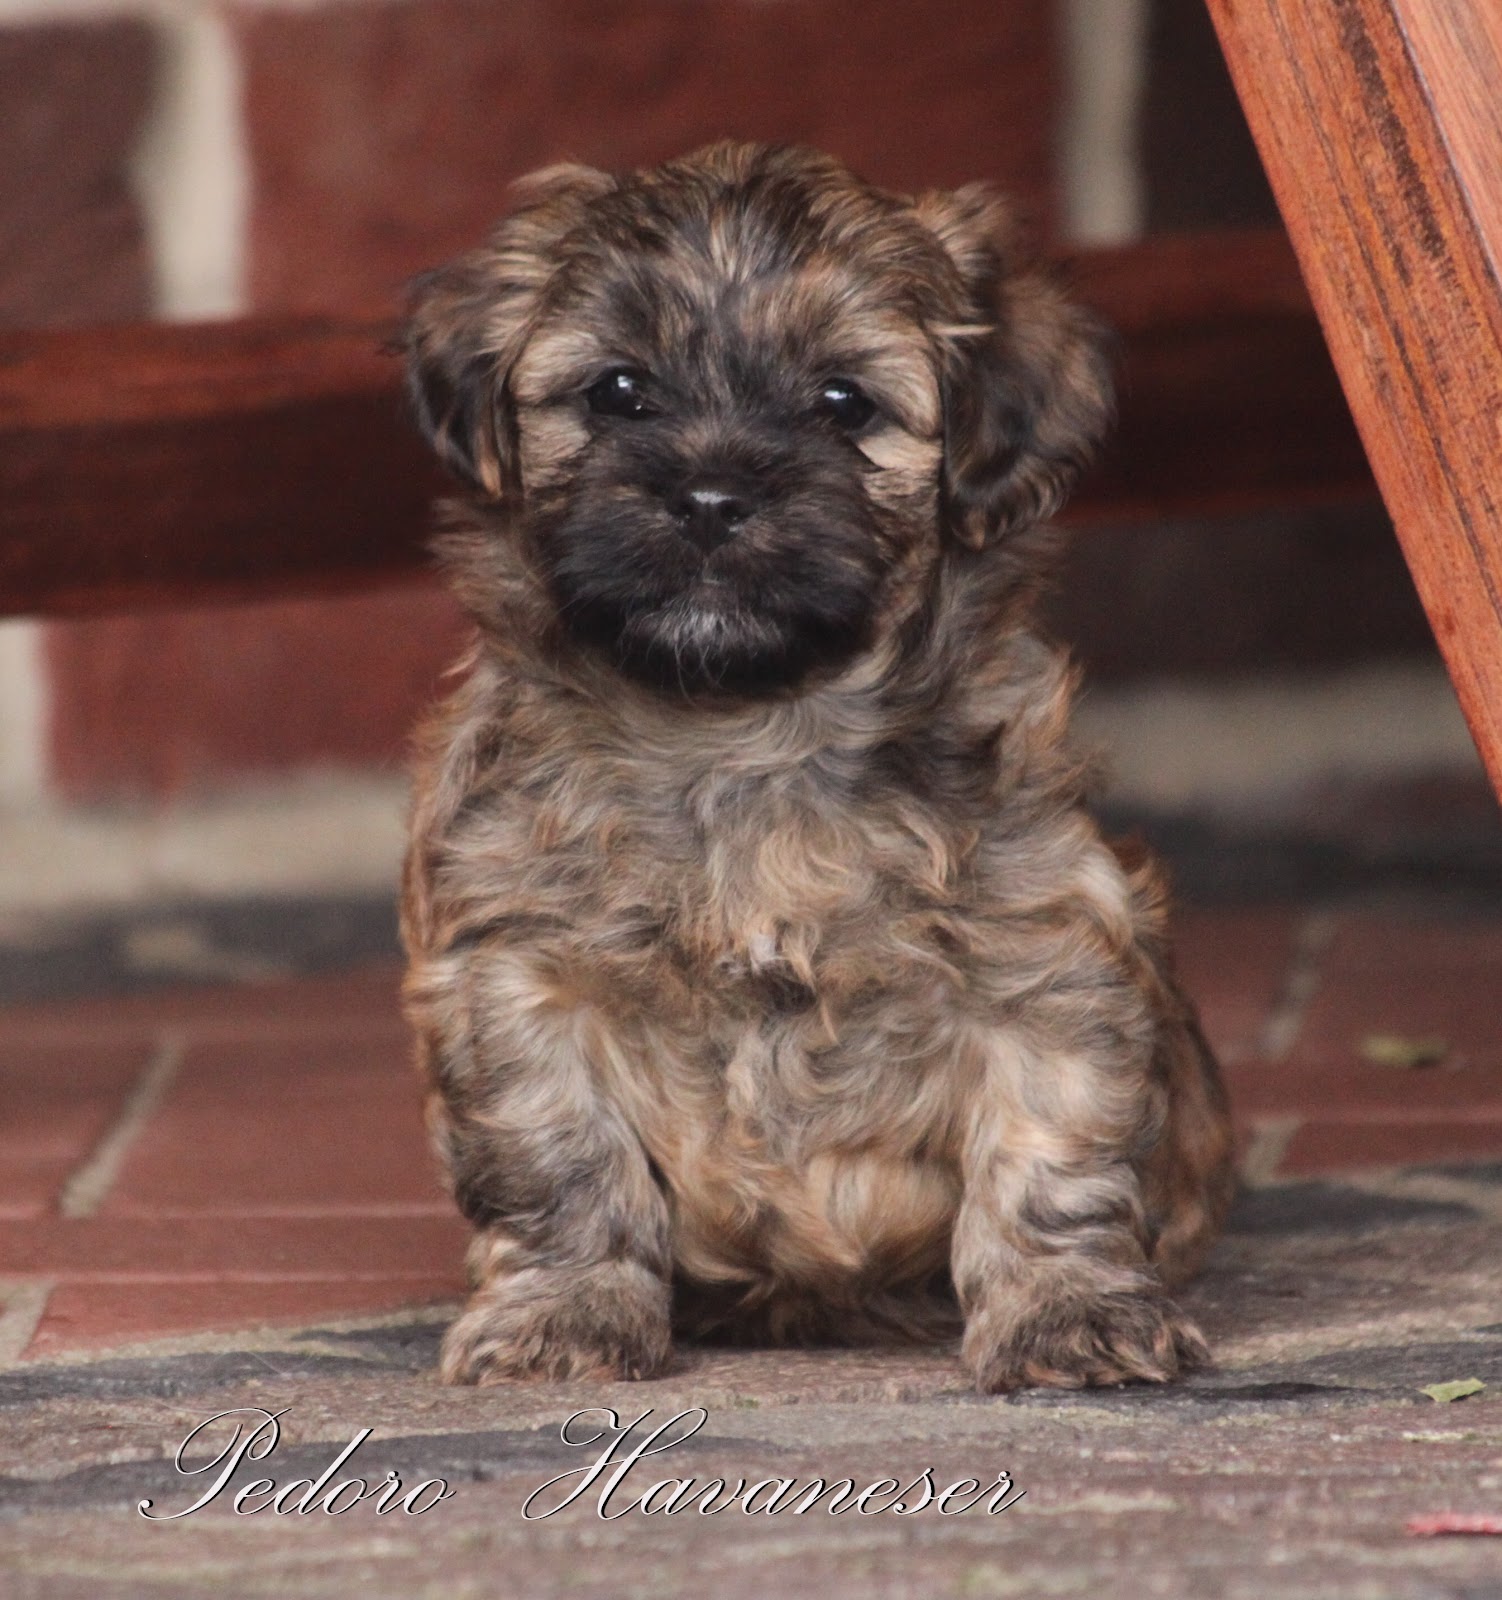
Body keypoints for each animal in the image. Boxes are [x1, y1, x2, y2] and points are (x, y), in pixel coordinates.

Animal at [399, 144, 1234, 1395]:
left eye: (844, 403)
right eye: (616, 390)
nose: (709, 496)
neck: (744, 732)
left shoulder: (1043, 955)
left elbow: (1047, 1152)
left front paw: (1066, 1311)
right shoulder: (519, 971)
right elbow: (561, 1159)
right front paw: (564, 1313)